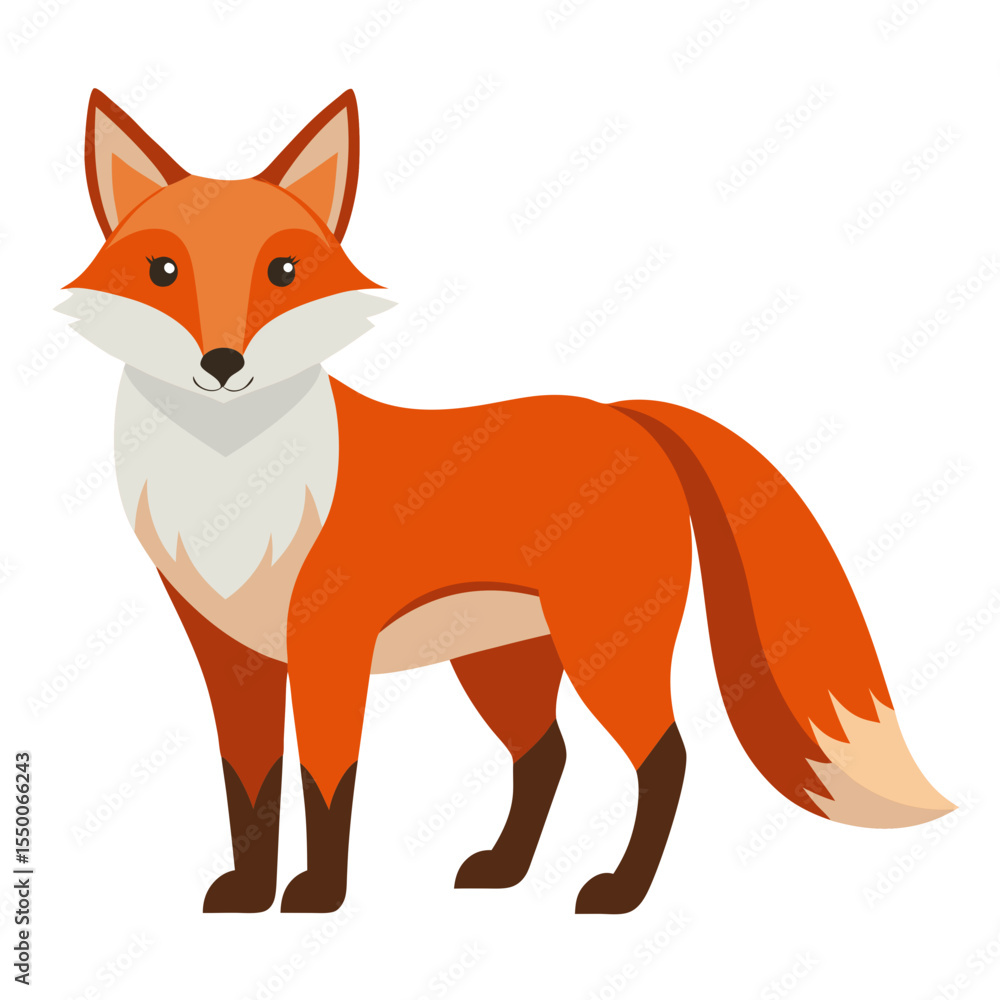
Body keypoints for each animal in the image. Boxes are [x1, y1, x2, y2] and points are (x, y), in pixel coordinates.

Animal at [61, 88, 955, 915]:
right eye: (163, 272)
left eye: (283, 273)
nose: (222, 363)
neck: (233, 482)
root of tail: (626, 415)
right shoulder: (229, 652)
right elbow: (249, 783)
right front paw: (251, 896)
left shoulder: (328, 642)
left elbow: (326, 778)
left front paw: (318, 895)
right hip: (503, 660)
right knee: (545, 755)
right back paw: (506, 870)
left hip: (604, 647)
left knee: (664, 756)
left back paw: (621, 891)